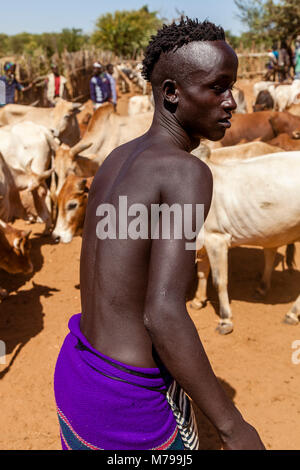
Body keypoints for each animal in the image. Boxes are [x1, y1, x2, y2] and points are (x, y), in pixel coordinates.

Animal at [192, 152, 300, 332]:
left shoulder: (217, 238)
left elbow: (219, 281)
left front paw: (225, 320)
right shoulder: (204, 240)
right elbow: (202, 273)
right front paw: (197, 301)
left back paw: (291, 314)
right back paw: (262, 289)